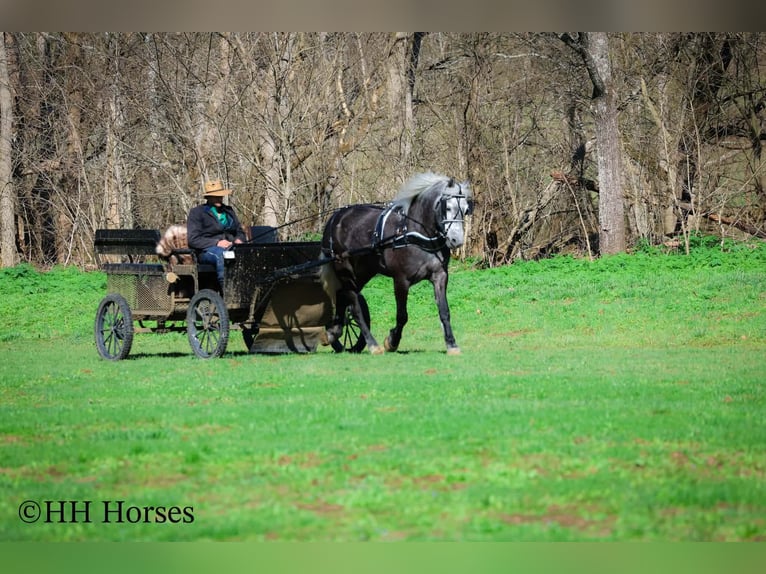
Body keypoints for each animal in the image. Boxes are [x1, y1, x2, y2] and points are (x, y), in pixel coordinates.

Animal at [320, 172, 472, 355]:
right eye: (447, 207)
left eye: (466, 209)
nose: (457, 240)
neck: (414, 233)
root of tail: (336, 217)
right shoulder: (401, 280)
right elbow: (402, 316)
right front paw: (391, 341)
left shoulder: (440, 276)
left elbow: (444, 311)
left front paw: (451, 344)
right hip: (345, 270)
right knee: (355, 306)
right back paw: (373, 345)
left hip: (362, 272)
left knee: (343, 294)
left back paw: (334, 331)